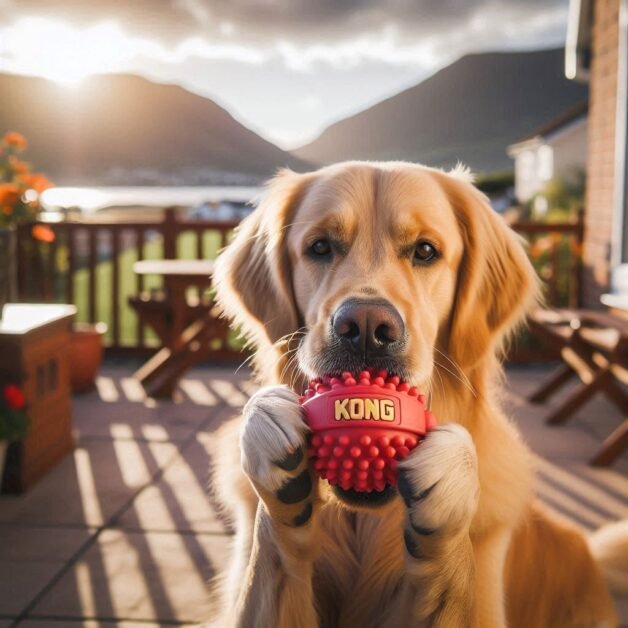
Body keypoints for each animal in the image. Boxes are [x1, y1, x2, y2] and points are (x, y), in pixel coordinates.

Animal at [210, 163, 624, 628]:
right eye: (320, 247)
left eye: (425, 251)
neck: (366, 521)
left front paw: (453, 477)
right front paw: (274, 455)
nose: (365, 327)